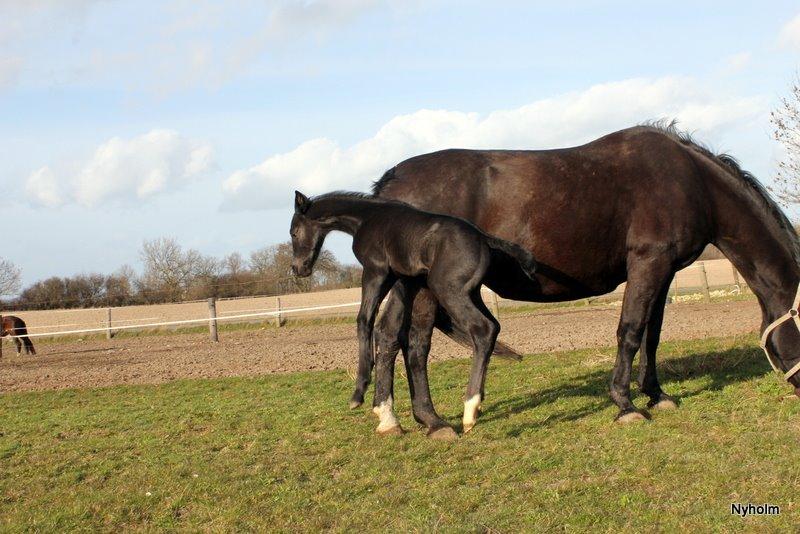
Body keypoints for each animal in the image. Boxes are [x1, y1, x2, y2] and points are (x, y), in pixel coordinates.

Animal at [290, 192, 536, 436]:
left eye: (294, 232)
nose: (298, 269)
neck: (366, 218)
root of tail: (484, 238)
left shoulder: (376, 271)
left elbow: (364, 320)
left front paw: (359, 392)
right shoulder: (405, 280)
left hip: (449, 290)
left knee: (483, 328)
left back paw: (469, 410)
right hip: (471, 293)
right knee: (494, 327)